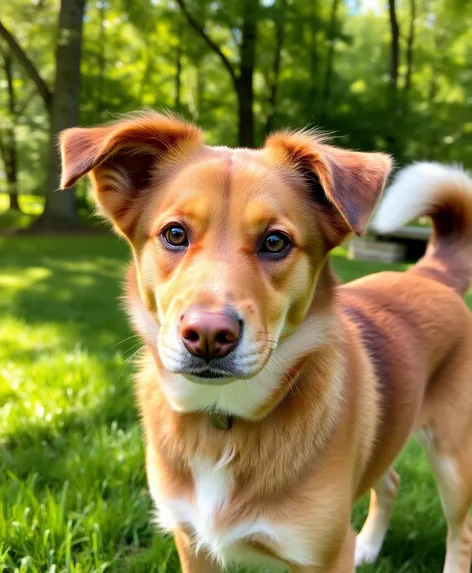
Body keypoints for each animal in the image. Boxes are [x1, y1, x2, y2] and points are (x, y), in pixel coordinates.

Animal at [60, 113, 472, 572]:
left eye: (275, 242)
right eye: (175, 234)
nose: (208, 335)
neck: (223, 421)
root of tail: (431, 274)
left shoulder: (324, 554)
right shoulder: (192, 543)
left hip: (455, 461)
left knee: (461, 532)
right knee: (391, 481)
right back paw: (368, 546)